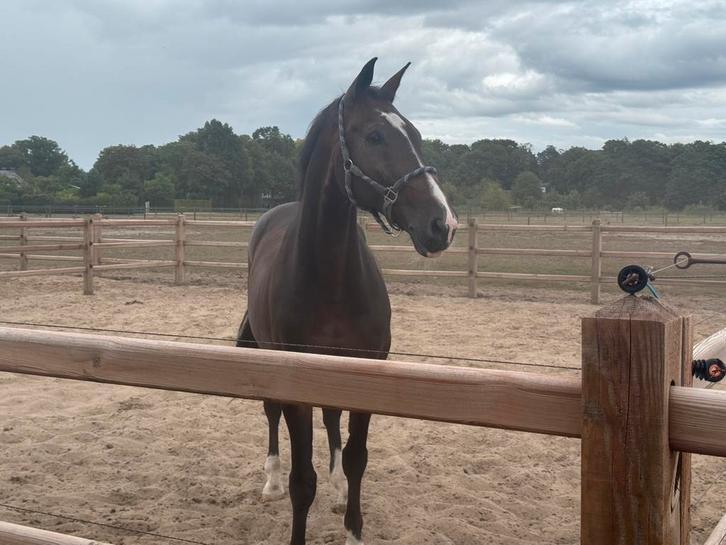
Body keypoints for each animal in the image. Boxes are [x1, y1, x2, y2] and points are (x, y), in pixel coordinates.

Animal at [236, 57, 458, 545]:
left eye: (415, 134)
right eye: (374, 136)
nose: (443, 224)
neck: (332, 279)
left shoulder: (364, 370)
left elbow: (357, 458)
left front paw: (352, 524)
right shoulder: (296, 383)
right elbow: (303, 480)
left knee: (332, 420)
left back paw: (337, 489)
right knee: (271, 413)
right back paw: (271, 479)